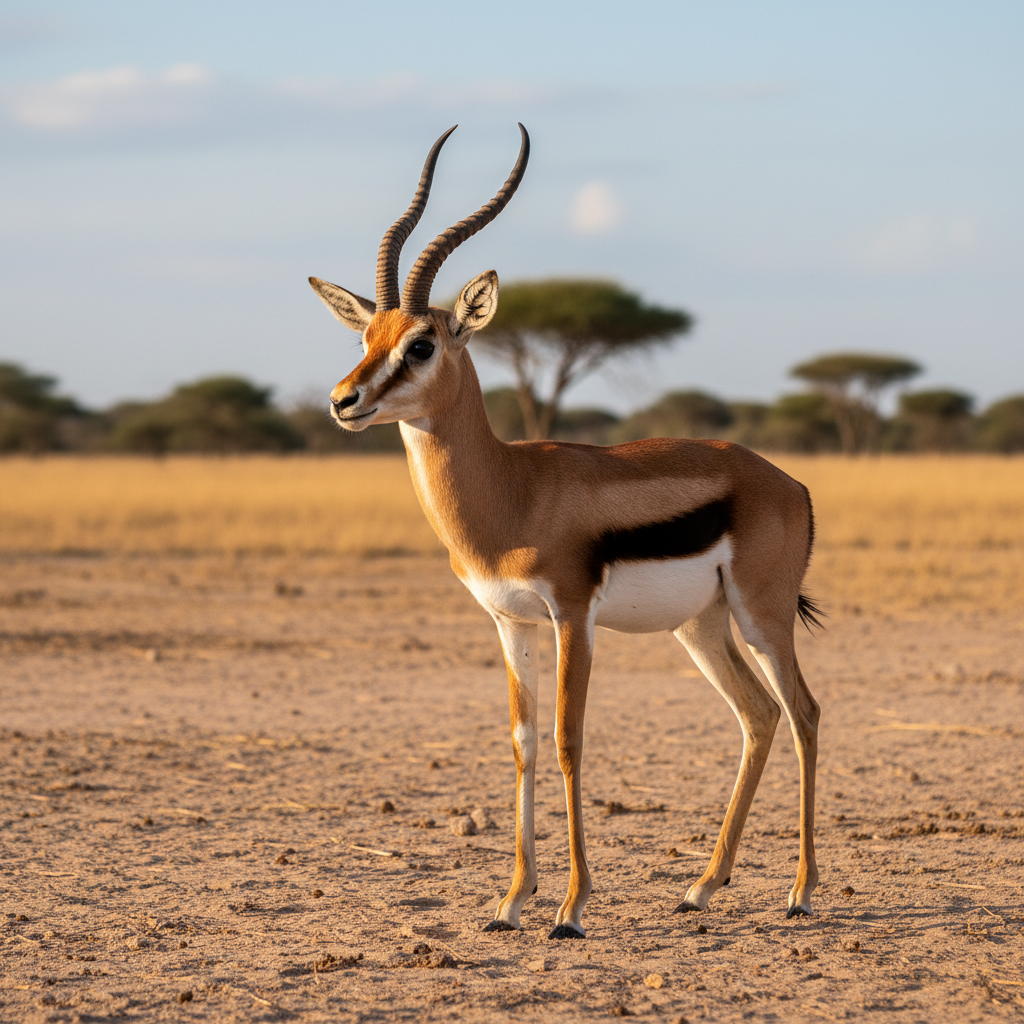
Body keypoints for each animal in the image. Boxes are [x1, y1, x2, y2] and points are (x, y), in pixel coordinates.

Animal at [309, 125, 822, 939]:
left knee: (803, 712)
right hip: (702, 627)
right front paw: (511, 902)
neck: (513, 492)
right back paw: (701, 888)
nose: (343, 400)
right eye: (367, 335)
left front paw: (572, 910)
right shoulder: (508, 622)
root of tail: (788, 482)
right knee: (760, 714)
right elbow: (522, 742)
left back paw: (801, 892)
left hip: (761, 613)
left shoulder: (571, 616)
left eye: (421, 343)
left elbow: (567, 739)